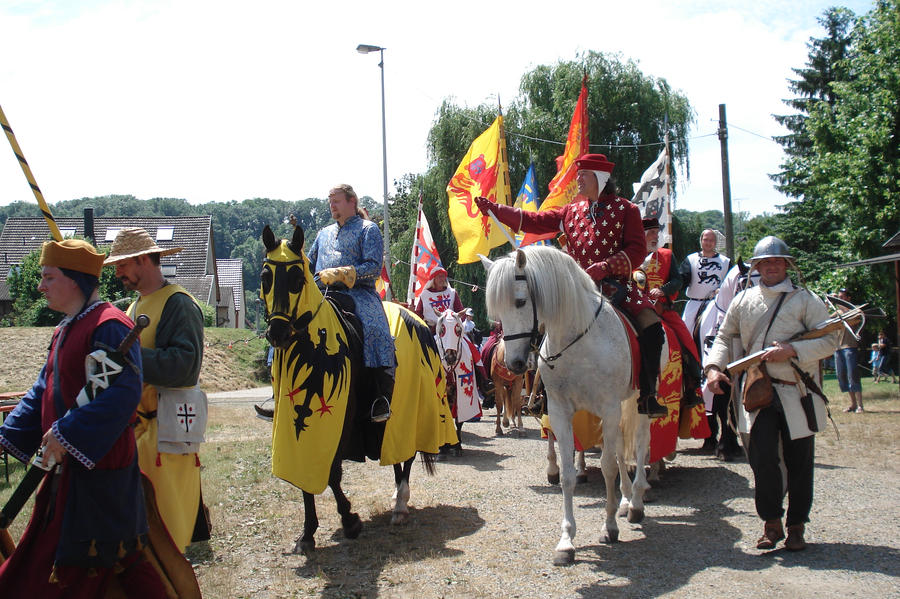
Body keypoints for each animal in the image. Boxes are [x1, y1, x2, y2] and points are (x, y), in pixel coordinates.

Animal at [486, 246, 652, 564]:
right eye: (496, 313)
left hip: (638, 401)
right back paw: (626, 500)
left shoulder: (608, 408)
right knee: (621, 447)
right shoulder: (561, 411)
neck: (578, 339)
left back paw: (636, 502)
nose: (514, 363)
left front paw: (609, 526)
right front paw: (566, 540)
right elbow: (567, 475)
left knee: (638, 443)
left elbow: (607, 467)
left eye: (520, 301)